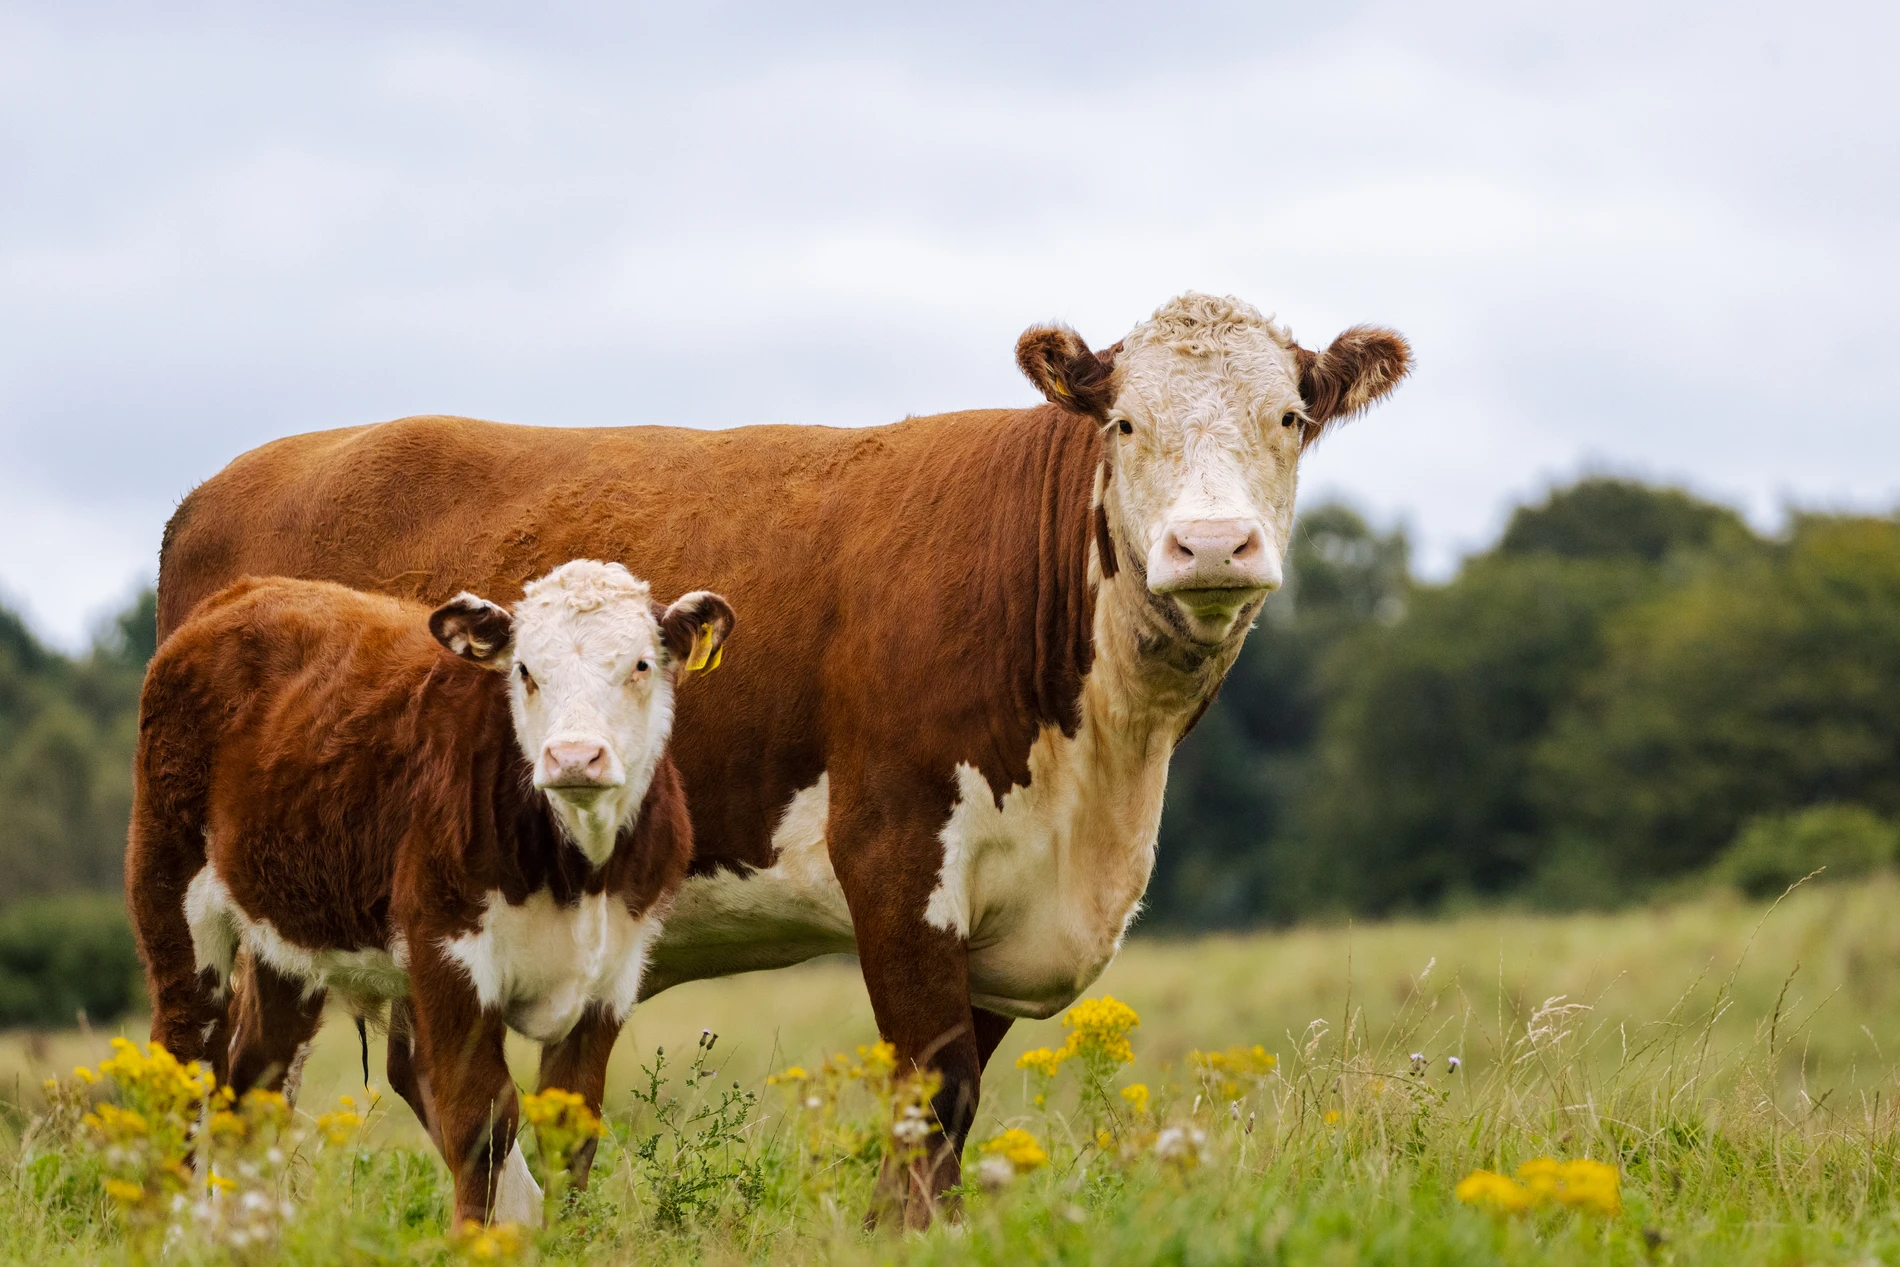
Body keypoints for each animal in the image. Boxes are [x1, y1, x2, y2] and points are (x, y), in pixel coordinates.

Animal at [126, 560, 733, 1227]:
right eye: (525, 670)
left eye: (640, 665)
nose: (574, 756)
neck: (578, 871)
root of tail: (249, 590)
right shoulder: (448, 954)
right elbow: (481, 1121)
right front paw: (475, 1239)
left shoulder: (612, 976)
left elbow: (570, 1132)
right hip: (173, 896)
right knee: (181, 1063)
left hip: (286, 936)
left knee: (254, 1085)